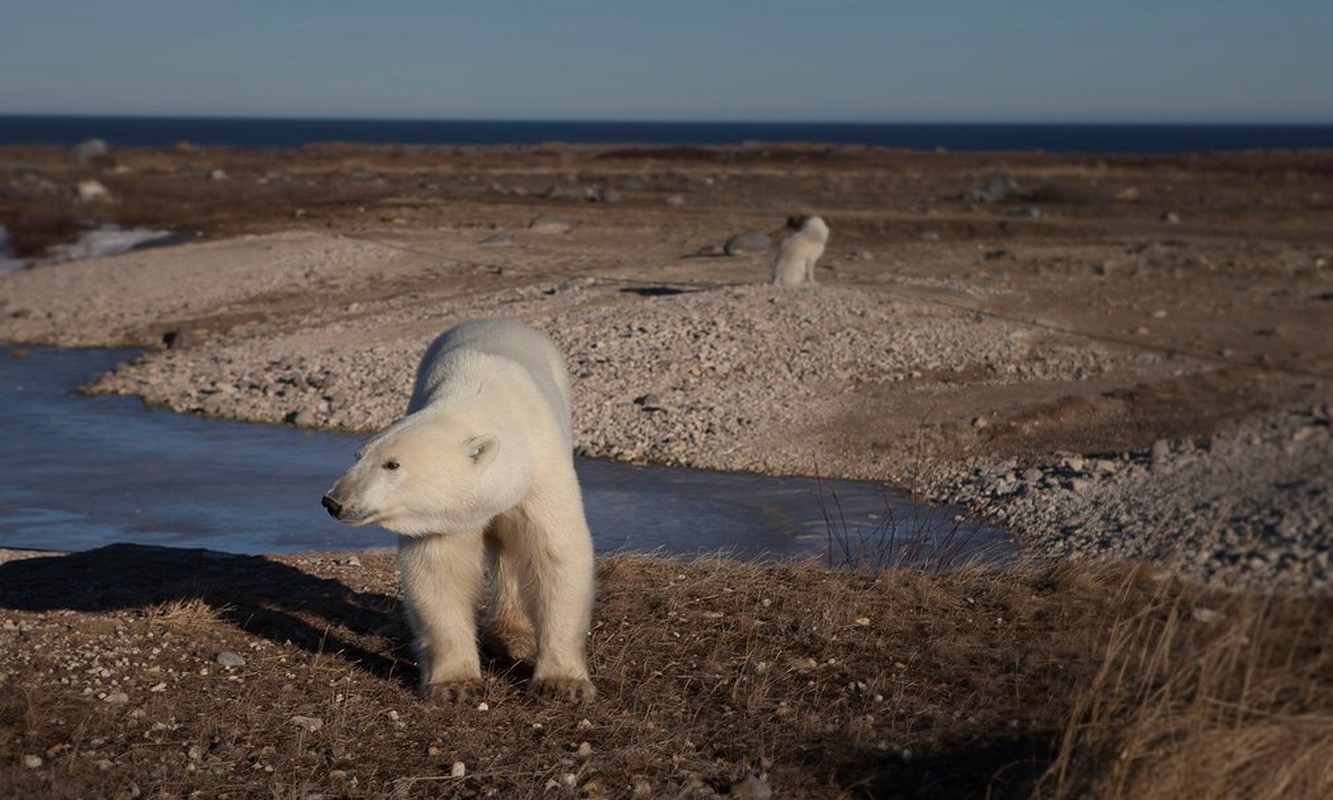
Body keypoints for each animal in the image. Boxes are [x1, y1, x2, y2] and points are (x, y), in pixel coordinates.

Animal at [319, 316, 597, 704]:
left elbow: (555, 553)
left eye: (392, 464)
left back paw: (512, 636)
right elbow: (440, 570)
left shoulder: (542, 469)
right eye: (358, 455)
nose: (334, 501)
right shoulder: (445, 518)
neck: (482, 389)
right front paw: (456, 685)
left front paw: (563, 683)